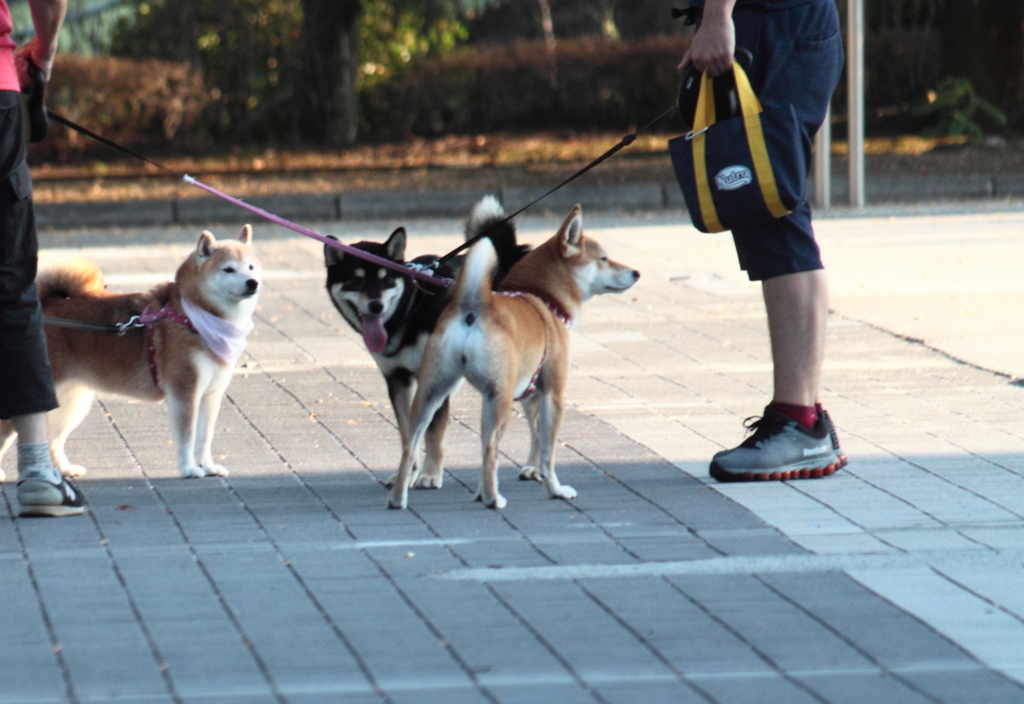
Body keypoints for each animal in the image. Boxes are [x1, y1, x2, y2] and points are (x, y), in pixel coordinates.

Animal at [0, 228, 262, 480]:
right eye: (228, 269)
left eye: (251, 267)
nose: (253, 282)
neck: (190, 316)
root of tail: (44, 306)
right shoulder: (185, 391)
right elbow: (187, 437)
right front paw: (189, 469)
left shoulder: (211, 395)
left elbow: (205, 438)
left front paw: (208, 467)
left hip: (72, 401)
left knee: (54, 439)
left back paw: (66, 470)